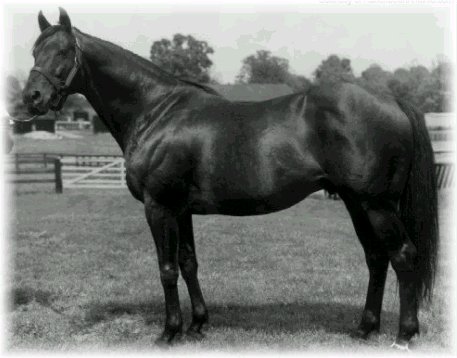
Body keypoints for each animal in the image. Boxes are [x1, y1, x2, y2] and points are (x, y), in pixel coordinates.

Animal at [23, 9, 436, 350]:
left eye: (63, 52)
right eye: (34, 51)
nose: (32, 98)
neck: (156, 111)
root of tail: (393, 100)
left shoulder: (159, 206)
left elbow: (166, 269)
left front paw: (169, 332)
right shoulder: (181, 210)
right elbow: (188, 263)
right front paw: (197, 325)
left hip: (377, 204)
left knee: (403, 255)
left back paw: (404, 335)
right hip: (355, 202)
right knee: (376, 258)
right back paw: (365, 329)